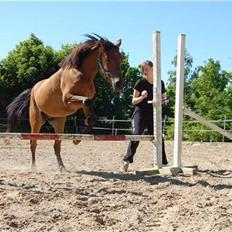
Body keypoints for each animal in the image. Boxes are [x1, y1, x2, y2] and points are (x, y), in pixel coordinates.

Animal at [6, 34, 124, 171]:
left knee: (56, 145)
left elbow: (89, 111)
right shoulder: (68, 100)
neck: (82, 74)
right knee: (33, 142)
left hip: (59, 122)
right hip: (36, 121)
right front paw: (77, 138)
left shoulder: (81, 102)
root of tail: (33, 89)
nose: (119, 85)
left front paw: (78, 138)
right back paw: (34, 167)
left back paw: (62, 167)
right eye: (108, 59)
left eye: (121, 58)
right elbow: (87, 102)